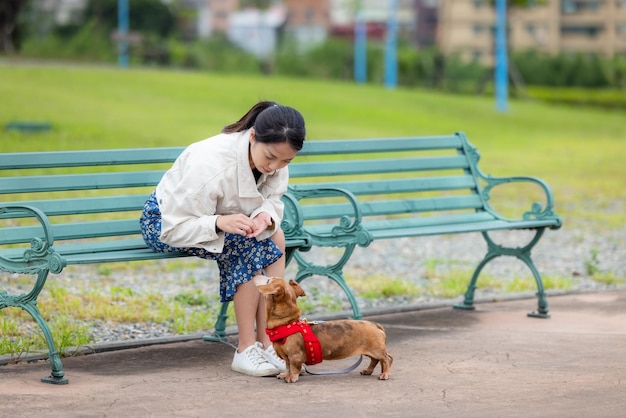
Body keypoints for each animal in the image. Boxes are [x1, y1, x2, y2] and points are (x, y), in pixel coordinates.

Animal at [252, 274, 390, 382]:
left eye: (268, 280)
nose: (255, 274)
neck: (287, 323)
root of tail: (375, 324)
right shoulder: (287, 358)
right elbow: (287, 366)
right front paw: (285, 374)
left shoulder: (294, 356)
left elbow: (293, 368)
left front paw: (292, 377)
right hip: (371, 351)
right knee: (375, 361)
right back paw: (368, 370)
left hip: (377, 350)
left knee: (387, 359)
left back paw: (385, 374)